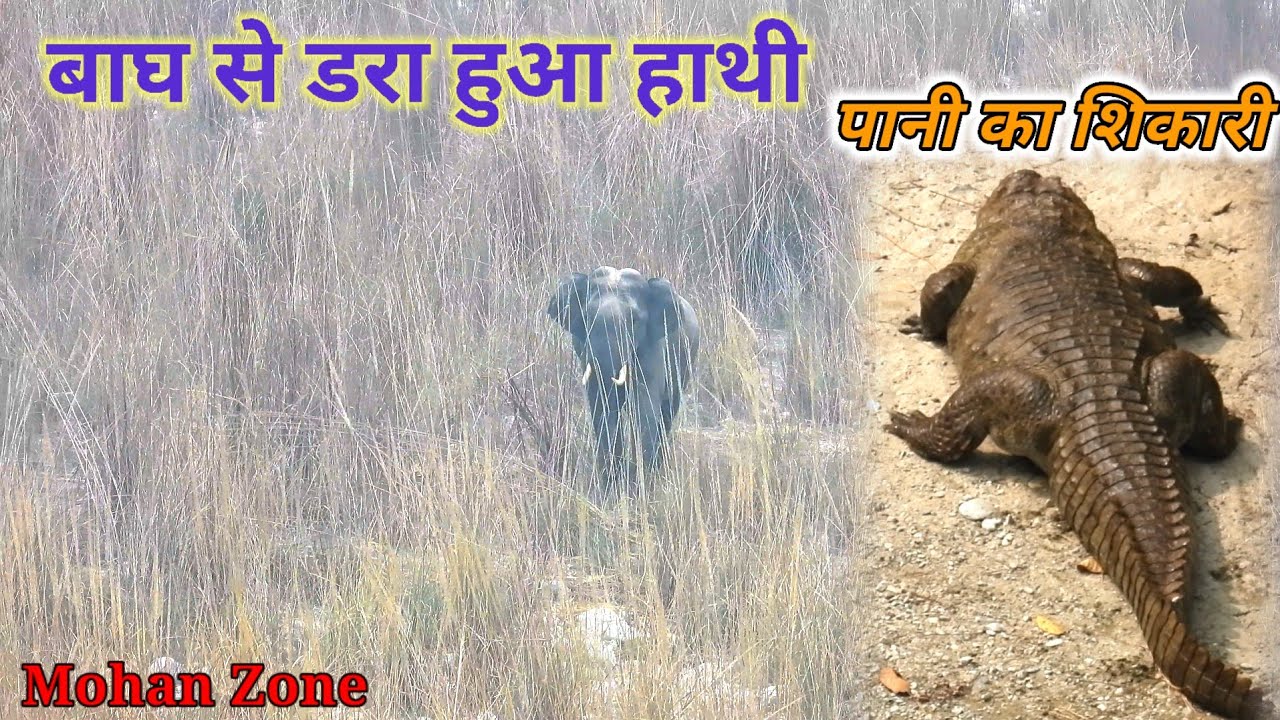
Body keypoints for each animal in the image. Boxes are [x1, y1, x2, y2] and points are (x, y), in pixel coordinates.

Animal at [546, 266, 700, 493]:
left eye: (634, 320)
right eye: (586, 317)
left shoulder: (653, 347)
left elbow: (644, 411)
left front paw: (640, 488)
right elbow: (603, 411)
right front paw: (613, 488)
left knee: (667, 415)